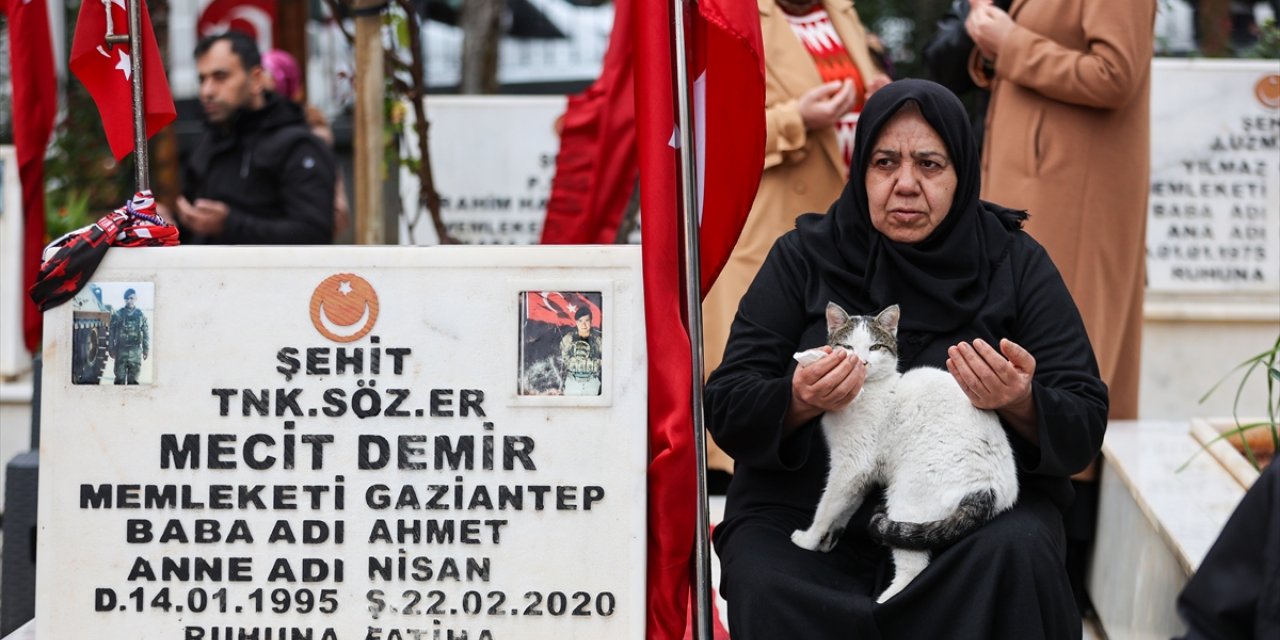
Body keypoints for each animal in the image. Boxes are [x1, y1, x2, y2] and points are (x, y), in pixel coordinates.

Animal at [788, 302, 1018, 601]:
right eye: (847, 347)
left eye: (874, 347)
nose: (861, 362)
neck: (867, 391)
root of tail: (990, 489)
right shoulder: (861, 475)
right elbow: (845, 507)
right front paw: (830, 536)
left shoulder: (851, 465)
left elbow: (826, 506)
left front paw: (809, 539)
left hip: (906, 497)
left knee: (915, 567)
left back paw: (884, 600)